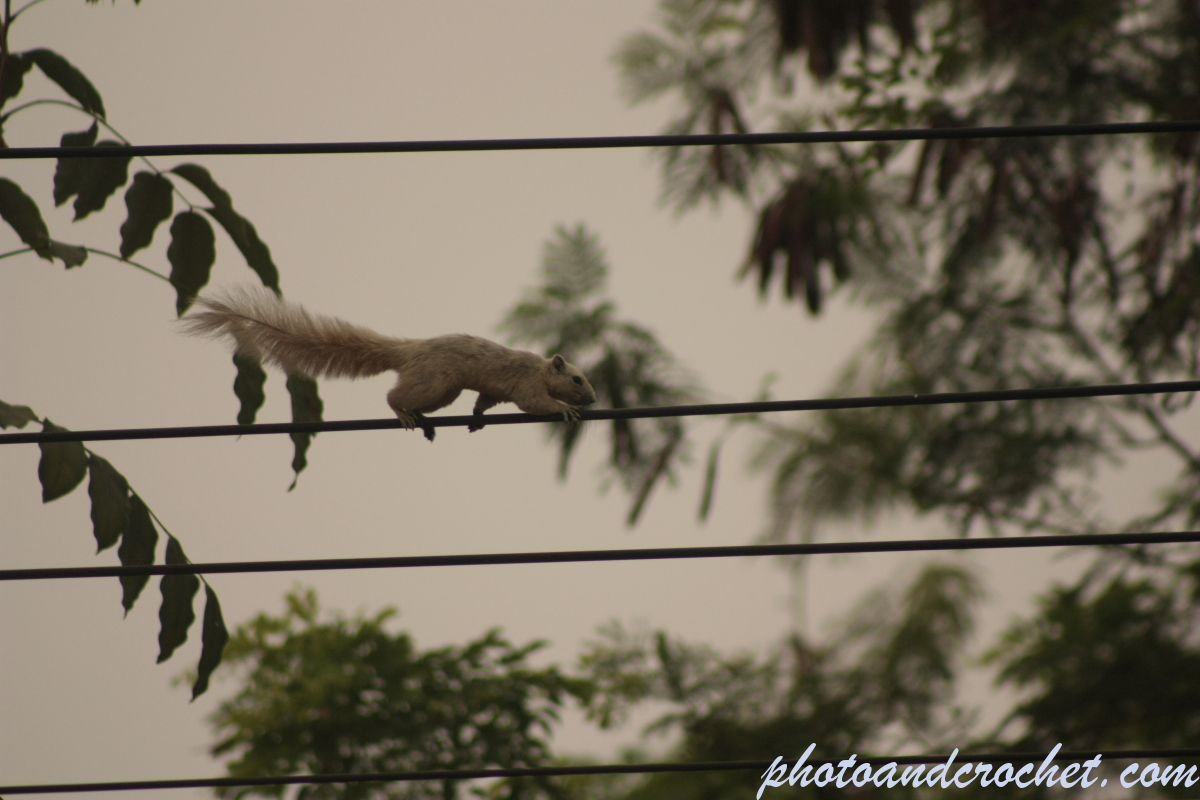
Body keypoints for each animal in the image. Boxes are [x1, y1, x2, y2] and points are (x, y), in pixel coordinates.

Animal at [181, 285, 597, 441]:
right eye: (578, 380)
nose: (593, 400)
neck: (540, 368)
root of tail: (409, 350)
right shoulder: (526, 386)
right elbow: (534, 403)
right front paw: (564, 410)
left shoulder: (499, 391)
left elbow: (485, 401)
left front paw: (477, 419)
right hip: (434, 383)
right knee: (393, 396)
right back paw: (403, 414)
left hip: (443, 390)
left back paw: (424, 421)